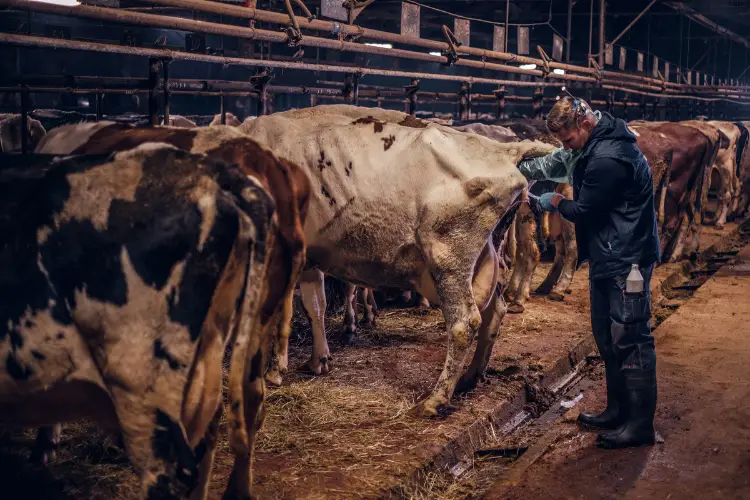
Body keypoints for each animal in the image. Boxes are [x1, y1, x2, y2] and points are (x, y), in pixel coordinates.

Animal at [241, 104, 560, 414]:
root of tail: (502, 150)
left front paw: (272, 372)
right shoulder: (309, 257)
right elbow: (313, 305)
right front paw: (317, 360)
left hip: (448, 256)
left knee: (465, 322)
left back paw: (436, 399)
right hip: (485, 256)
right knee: (494, 311)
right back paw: (470, 377)